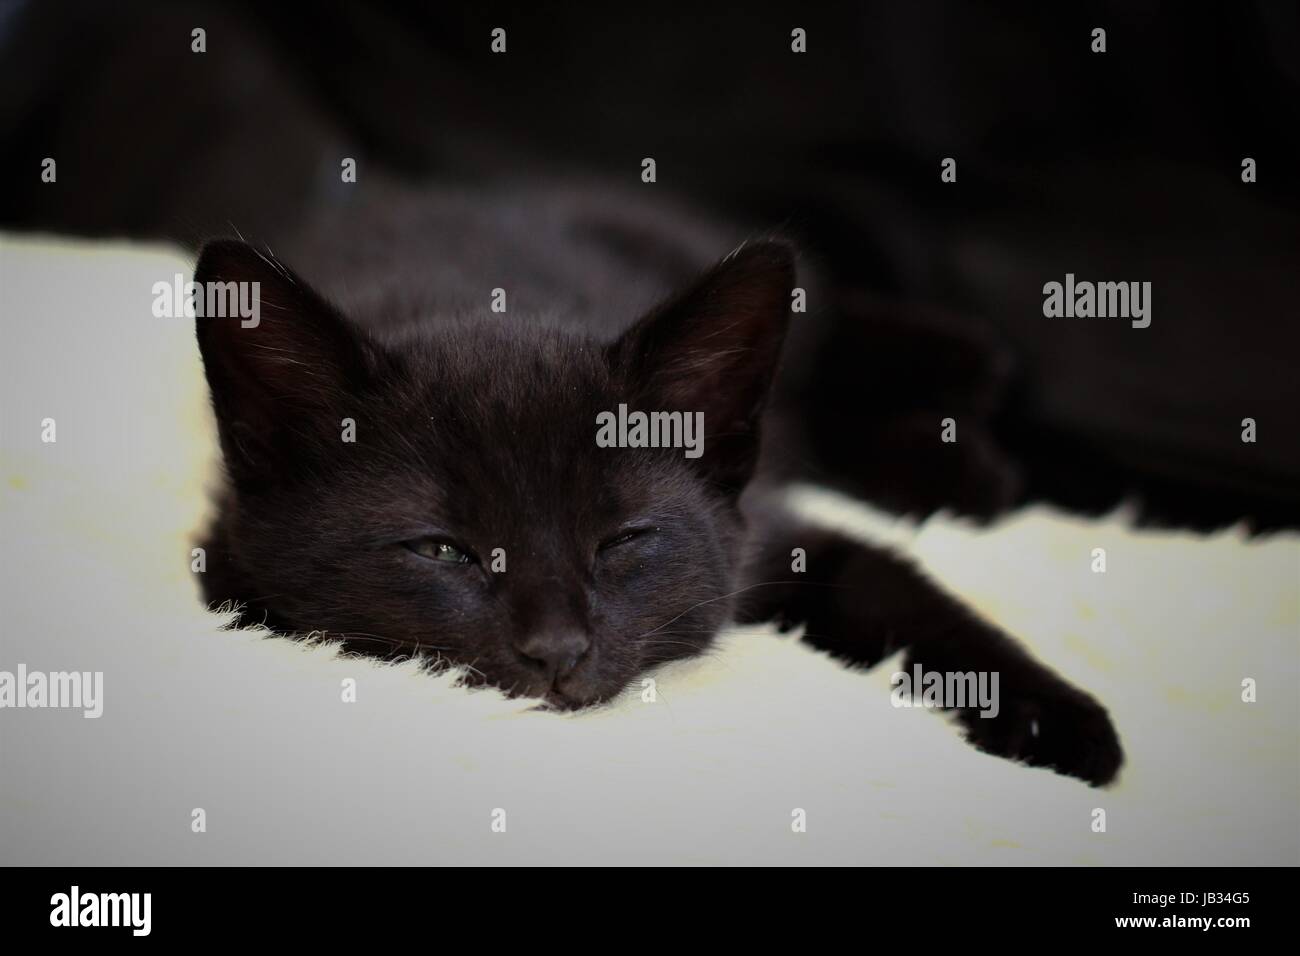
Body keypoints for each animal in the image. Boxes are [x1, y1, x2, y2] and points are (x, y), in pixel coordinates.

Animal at [197, 227, 1123, 790]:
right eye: (441, 551)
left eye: (624, 541)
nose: (556, 650)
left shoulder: (769, 532)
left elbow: (894, 583)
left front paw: (1060, 719)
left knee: (822, 306)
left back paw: (968, 375)